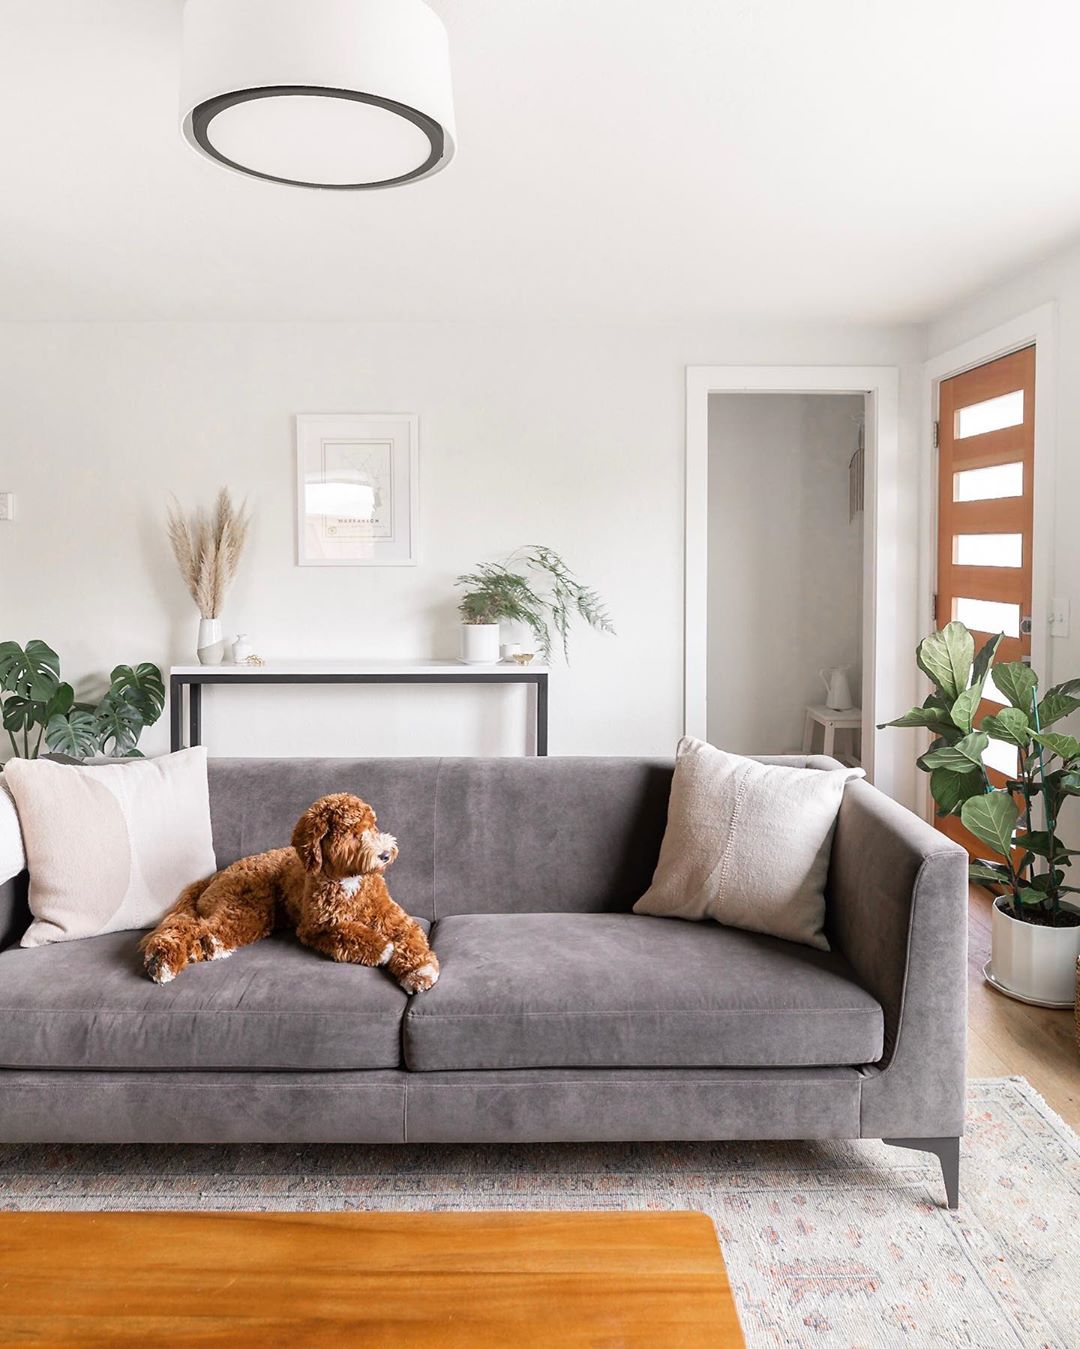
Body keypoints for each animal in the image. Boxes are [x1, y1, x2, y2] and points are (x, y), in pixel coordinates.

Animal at [138, 787, 436, 992]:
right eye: (353, 832)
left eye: (373, 826)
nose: (386, 854)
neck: (349, 880)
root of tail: (217, 874)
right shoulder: (315, 927)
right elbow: (346, 932)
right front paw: (381, 947)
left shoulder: (395, 920)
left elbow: (412, 939)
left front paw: (420, 972)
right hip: (244, 907)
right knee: (187, 927)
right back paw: (160, 961)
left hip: (245, 918)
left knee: (206, 934)